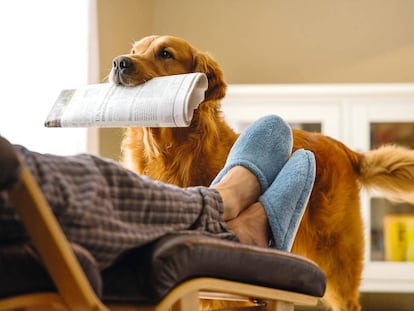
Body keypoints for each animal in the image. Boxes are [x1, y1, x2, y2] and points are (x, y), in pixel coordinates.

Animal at [109, 34, 414, 311]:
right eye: (135, 51)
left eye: (165, 54)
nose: (119, 62)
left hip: (338, 259)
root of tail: (344, 148)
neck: (170, 150)